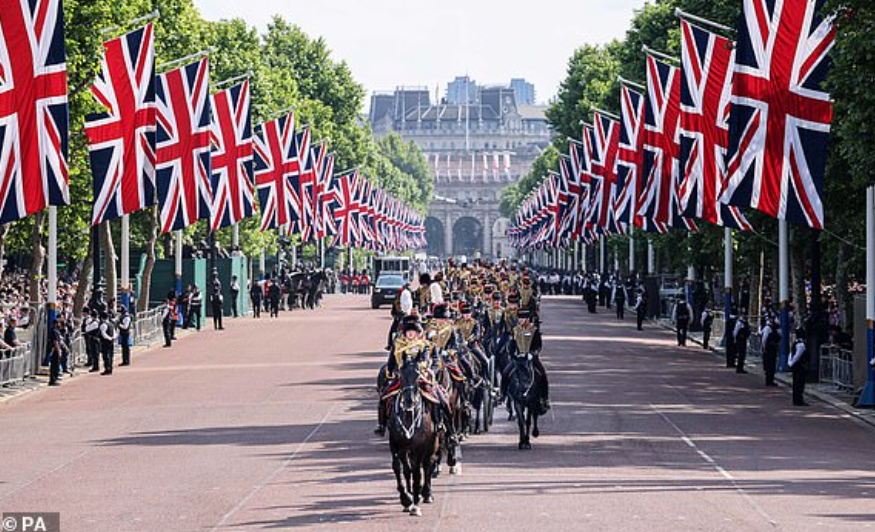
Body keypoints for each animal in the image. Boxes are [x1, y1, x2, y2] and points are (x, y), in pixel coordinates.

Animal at [390, 362, 442, 516]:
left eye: (418, 376)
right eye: (400, 375)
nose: (409, 401)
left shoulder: (420, 446)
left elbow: (418, 472)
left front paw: (415, 503)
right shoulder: (395, 444)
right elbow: (399, 467)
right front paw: (406, 498)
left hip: (432, 444)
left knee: (428, 465)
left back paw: (426, 494)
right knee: (410, 469)